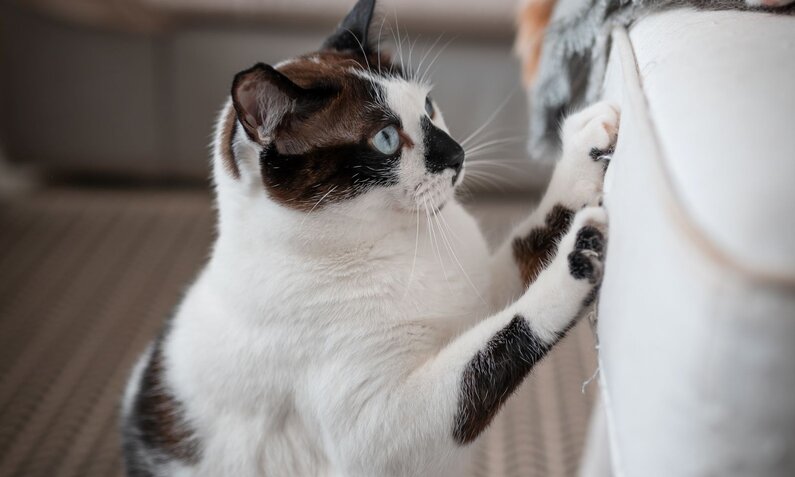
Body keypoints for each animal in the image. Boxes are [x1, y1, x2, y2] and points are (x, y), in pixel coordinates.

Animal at [118, 1, 620, 474]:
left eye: (428, 108)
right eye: (386, 139)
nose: (457, 155)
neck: (399, 244)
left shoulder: (477, 295)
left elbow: (529, 250)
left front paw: (587, 145)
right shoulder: (383, 428)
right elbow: (500, 342)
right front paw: (580, 256)